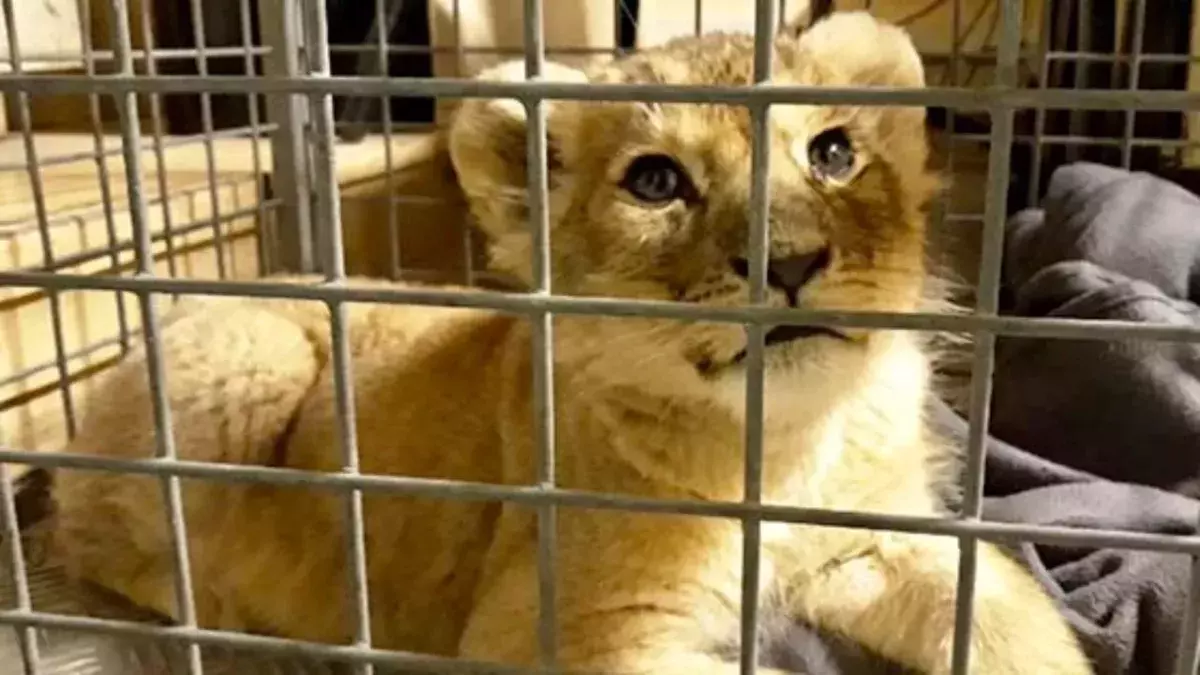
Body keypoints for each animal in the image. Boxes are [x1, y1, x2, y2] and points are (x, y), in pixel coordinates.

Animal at [46, 10, 1091, 674]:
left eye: (833, 153)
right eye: (657, 181)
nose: (791, 260)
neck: (789, 443)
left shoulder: (883, 540)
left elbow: (1013, 618)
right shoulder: (551, 632)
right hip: (251, 357)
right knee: (99, 539)